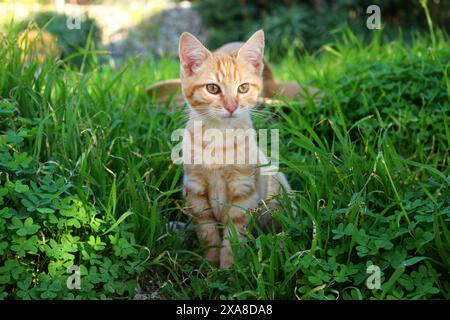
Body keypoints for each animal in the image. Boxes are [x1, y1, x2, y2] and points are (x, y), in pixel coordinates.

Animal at [179, 31, 292, 268]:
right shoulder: (195, 191)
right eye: (212, 88)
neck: (219, 138)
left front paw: (229, 270)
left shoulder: (243, 191)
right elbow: (208, 233)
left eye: (243, 88)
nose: (232, 107)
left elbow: (234, 237)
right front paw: (211, 266)